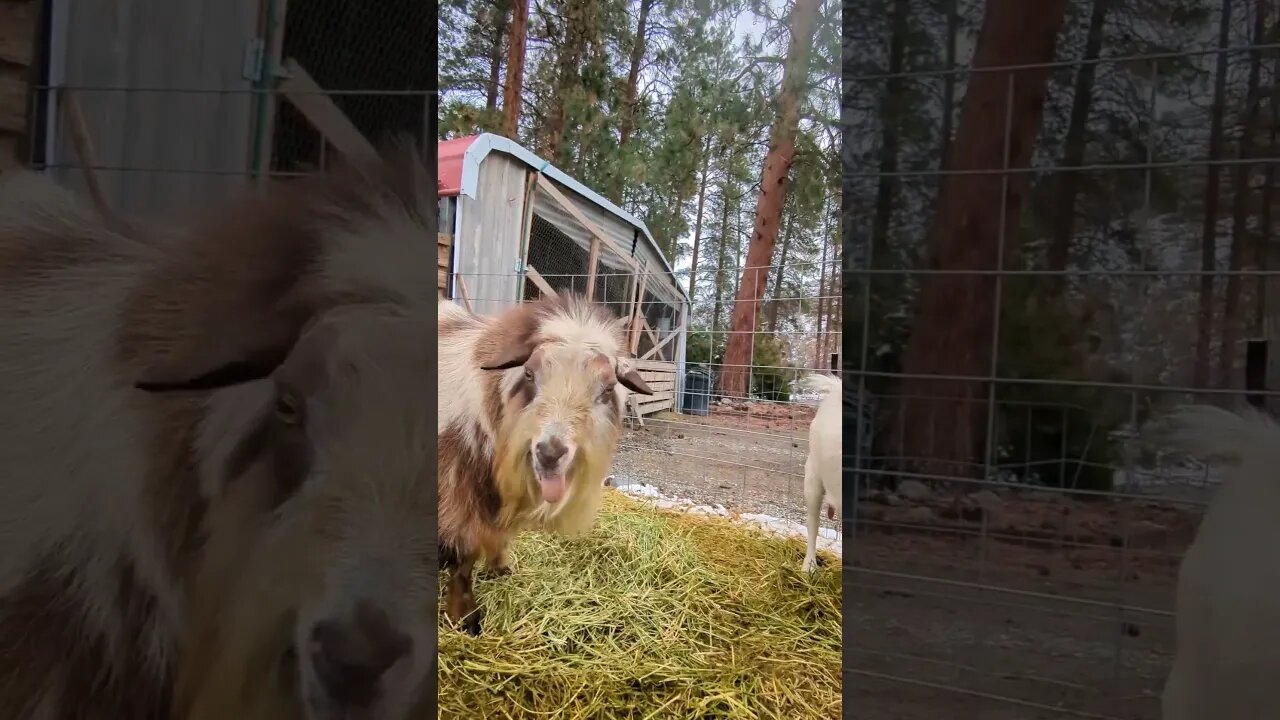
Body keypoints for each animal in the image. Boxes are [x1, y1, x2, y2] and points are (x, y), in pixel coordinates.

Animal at [440, 294, 655, 630]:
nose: (549, 453)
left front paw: (500, 569)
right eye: (529, 373)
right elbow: (463, 559)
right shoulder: (457, 495)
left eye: (608, 388)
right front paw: (466, 620)